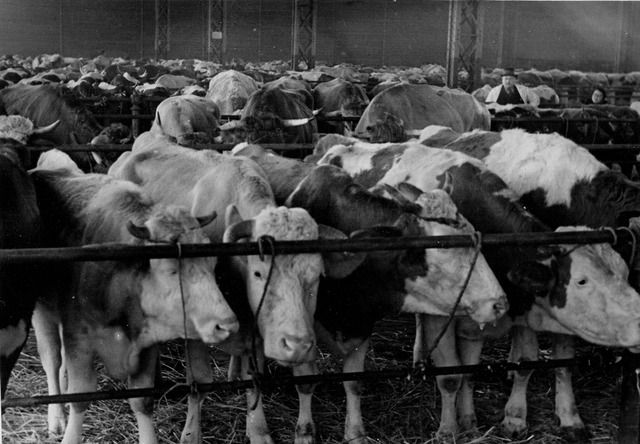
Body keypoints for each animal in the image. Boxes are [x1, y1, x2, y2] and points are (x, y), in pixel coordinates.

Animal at [30, 158, 240, 442]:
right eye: (169, 268)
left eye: (212, 262)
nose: (226, 324)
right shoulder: (78, 341)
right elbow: (80, 398)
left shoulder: (146, 344)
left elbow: (142, 401)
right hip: (42, 311)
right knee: (51, 359)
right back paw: (56, 417)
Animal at [316, 138, 640, 440]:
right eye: (582, 280)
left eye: (625, 272)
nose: (638, 324)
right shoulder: (444, 315)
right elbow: (450, 376)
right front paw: (451, 429)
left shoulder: (522, 306)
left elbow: (534, 363)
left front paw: (526, 418)